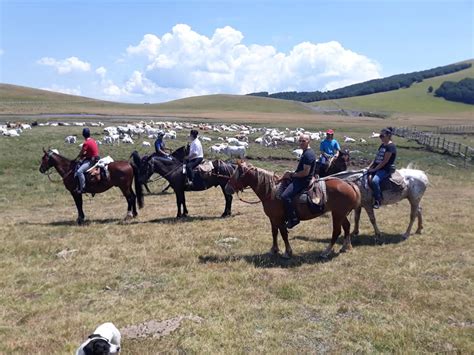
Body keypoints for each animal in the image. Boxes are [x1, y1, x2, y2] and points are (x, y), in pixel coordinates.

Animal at [224, 162, 362, 258]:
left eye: (237, 175)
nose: (227, 188)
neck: (272, 191)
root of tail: (349, 184)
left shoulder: (279, 219)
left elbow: (283, 233)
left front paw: (287, 252)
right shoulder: (272, 218)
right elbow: (274, 233)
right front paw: (274, 250)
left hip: (337, 214)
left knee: (336, 231)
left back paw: (326, 251)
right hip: (341, 213)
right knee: (347, 227)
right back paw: (346, 247)